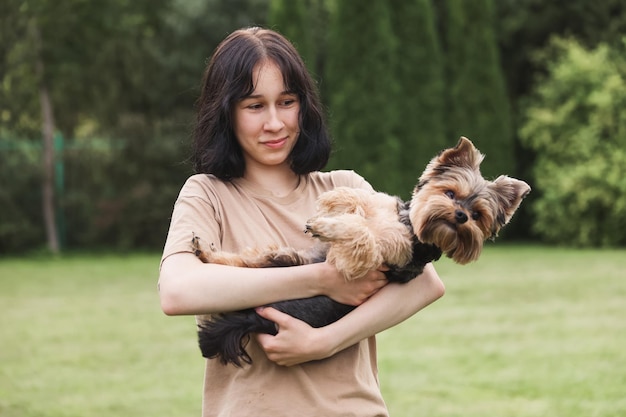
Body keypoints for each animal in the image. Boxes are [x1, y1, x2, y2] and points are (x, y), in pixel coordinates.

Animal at [190, 136, 528, 364]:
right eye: (450, 193)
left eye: (478, 215)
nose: (460, 216)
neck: (408, 225)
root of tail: (257, 319)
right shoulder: (378, 209)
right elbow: (361, 200)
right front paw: (332, 202)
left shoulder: (362, 259)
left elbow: (362, 235)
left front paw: (326, 223)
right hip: (282, 261)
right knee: (242, 261)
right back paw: (204, 251)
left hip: (281, 266)